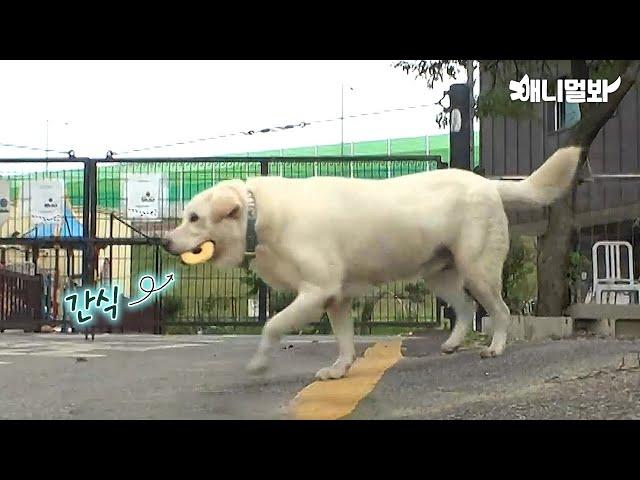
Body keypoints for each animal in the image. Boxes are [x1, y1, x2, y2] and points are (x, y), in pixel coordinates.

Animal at [164, 145, 580, 378]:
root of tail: (487, 183)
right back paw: (451, 344)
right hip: (440, 276)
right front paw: (340, 369)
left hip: (478, 270)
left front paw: (260, 364)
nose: (165, 241)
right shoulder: (336, 299)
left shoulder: (316, 292)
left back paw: (495, 348)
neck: (260, 216)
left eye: (194, 218)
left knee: (501, 311)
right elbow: (345, 341)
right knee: (463, 310)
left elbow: (271, 326)